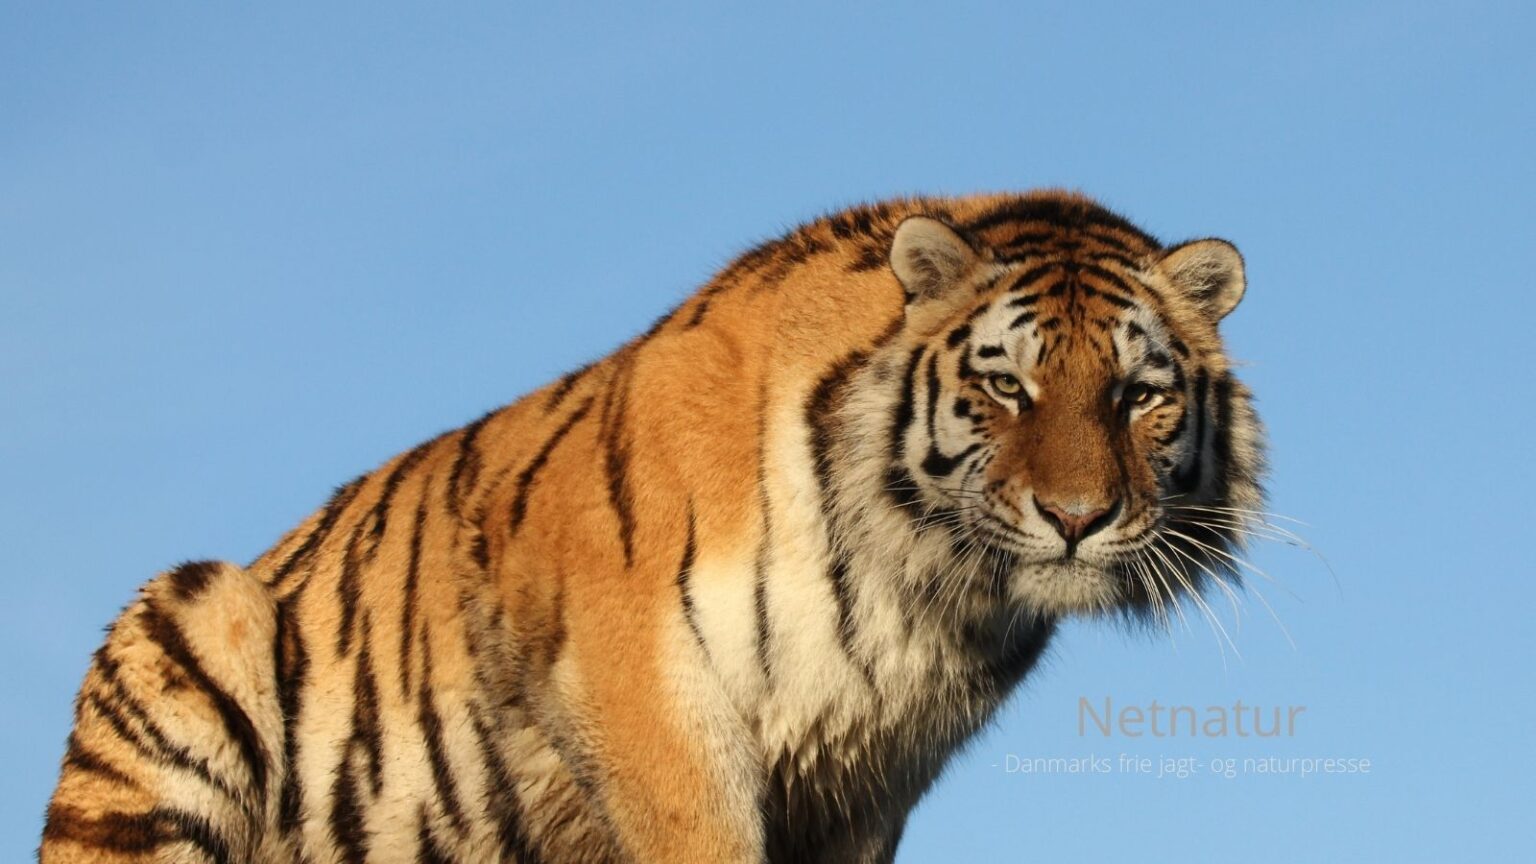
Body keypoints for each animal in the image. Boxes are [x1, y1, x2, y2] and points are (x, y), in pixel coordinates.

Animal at [40, 190, 1265, 863]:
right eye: (1008, 386)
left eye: (1138, 395)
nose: (1077, 518)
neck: (924, 587)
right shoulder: (641, 684)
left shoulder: (863, 778)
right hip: (193, 619)